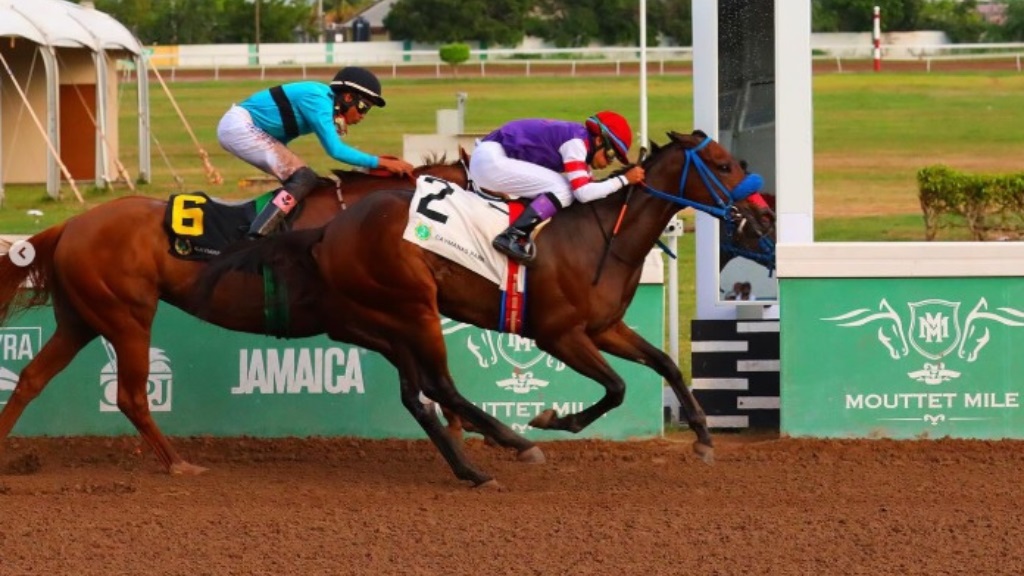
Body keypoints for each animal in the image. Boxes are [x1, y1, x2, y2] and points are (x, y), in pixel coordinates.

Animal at [0, 158, 471, 473]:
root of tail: (70, 224)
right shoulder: (352, 318)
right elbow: (422, 364)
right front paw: (461, 422)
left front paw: (459, 422)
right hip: (127, 318)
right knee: (130, 396)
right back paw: (178, 463)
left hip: (79, 319)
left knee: (32, 378)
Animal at [197, 131, 774, 483]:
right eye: (724, 165)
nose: (765, 219)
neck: (602, 234)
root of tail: (328, 230)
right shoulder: (559, 334)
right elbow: (616, 387)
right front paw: (553, 419)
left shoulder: (605, 327)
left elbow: (666, 364)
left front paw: (702, 436)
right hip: (414, 309)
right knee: (439, 385)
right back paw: (511, 441)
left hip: (386, 319)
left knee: (418, 392)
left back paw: (472, 464)